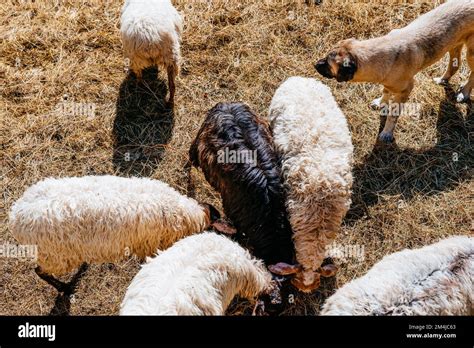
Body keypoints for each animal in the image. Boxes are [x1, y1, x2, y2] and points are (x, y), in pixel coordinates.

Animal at [314, 0, 474, 143]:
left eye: (328, 64)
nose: (315, 64)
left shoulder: (406, 90)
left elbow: (393, 114)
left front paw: (386, 133)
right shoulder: (388, 82)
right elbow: (385, 92)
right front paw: (380, 103)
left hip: (471, 53)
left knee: (472, 74)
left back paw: (464, 93)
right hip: (454, 44)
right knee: (455, 64)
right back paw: (443, 79)